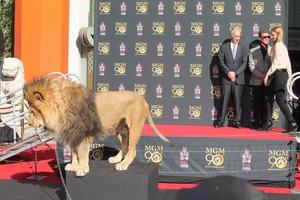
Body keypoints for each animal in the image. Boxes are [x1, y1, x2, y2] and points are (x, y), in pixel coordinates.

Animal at [24, 76, 170, 177]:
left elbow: (82, 153)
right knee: (125, 145)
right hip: (121, 129)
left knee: (132, 150)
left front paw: (82, 169)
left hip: (134, 128)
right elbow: (74, 152)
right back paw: (116, 159)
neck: (61, 107)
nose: (29, 123)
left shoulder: (82, 134)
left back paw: (123, 164)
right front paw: (74, 165)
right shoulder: (74, 133)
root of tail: (143, 99)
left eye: (32, 112)